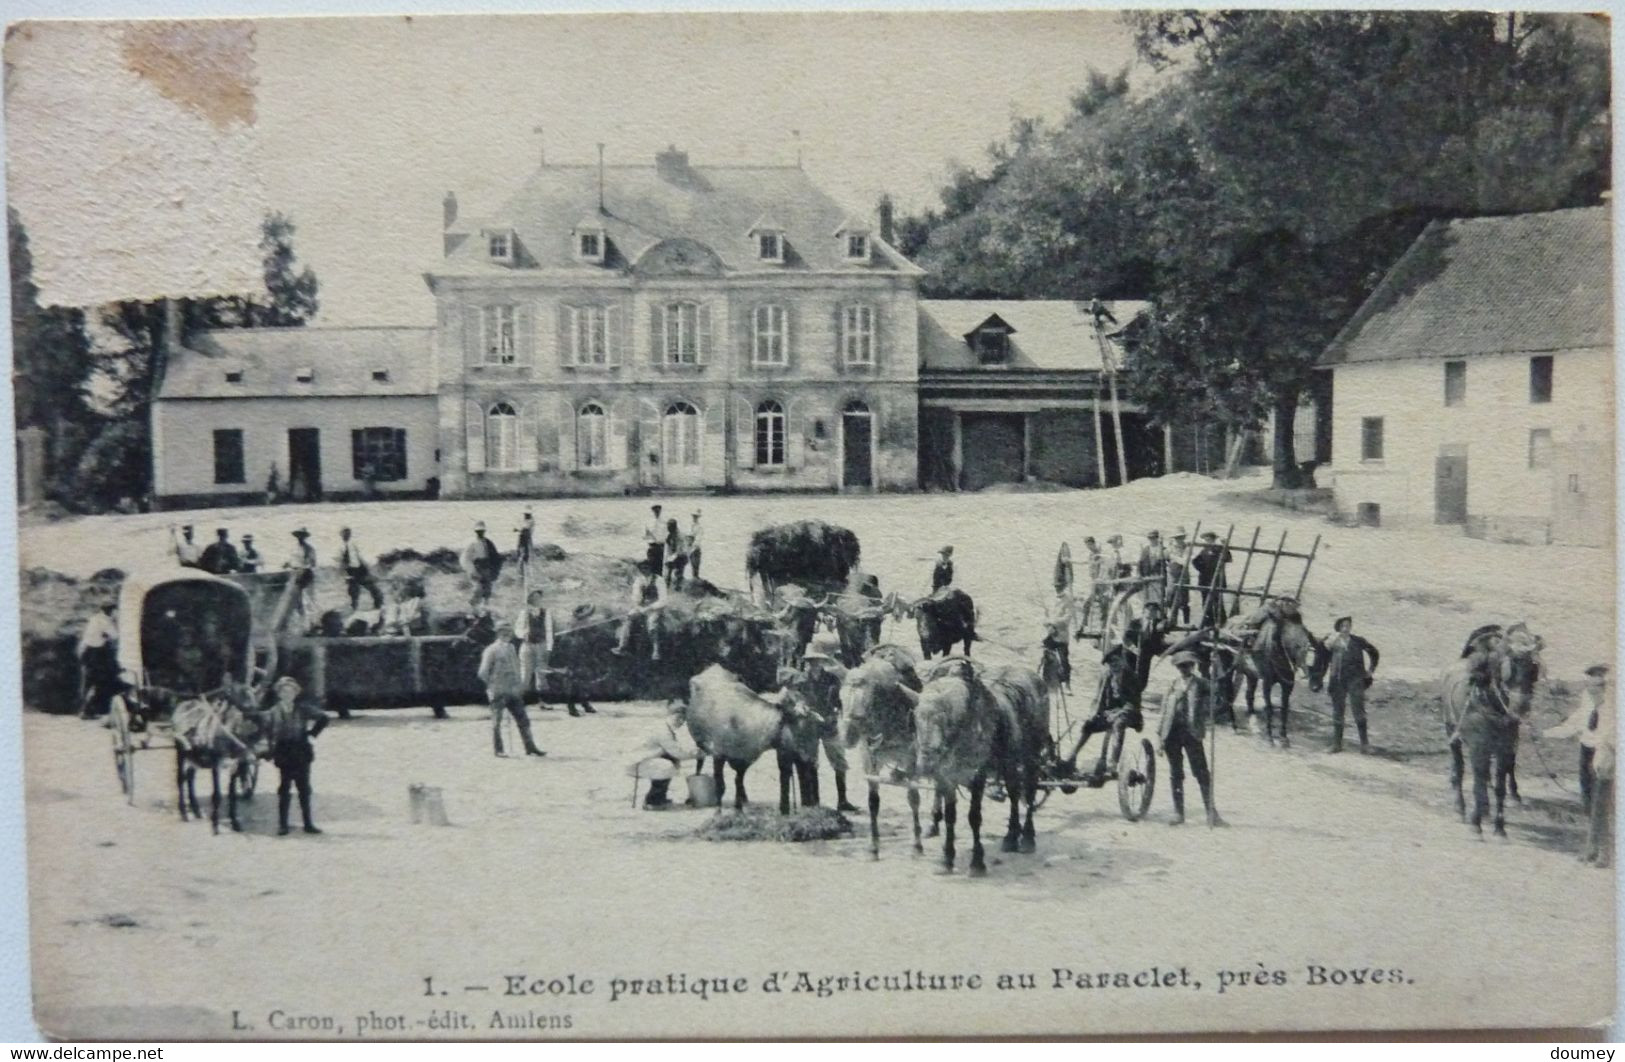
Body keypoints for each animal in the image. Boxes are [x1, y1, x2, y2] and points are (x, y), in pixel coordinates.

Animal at [170, 698, 261, 837]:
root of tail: (184, 702)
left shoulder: (234, 767)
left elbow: (232, 795)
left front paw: (235, 823)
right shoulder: (216, 765)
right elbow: (217, 795)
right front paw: (215, 826)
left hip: (194, 757)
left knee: (190, 777)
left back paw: (196, 810)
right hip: (181, 752)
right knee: (180, 779)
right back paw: (184, 814)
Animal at [910, 662, 1046, 876]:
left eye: (947, 720)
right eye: (915, 719)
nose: (926, 764)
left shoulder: (977, 777)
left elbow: (974, 817)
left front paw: (977, 862)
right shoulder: (947, 777)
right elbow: (950, 817)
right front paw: (947, 858)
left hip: (1031, 756)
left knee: (1030, 792)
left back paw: (1027, 838)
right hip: (1008, 762)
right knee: (1014, 793)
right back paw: (1011, 836)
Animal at [1443, 623, 1540, 837]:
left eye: (1533, 670)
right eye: (1509, 670)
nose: (1521, 707)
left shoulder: (1504, 748)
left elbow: (1499, 787)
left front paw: (1499, 828)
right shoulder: (1478, 748)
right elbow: (1478, 784)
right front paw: (1476, 823)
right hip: (1453, 734)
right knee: (1460, 769)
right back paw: (1461, 808)